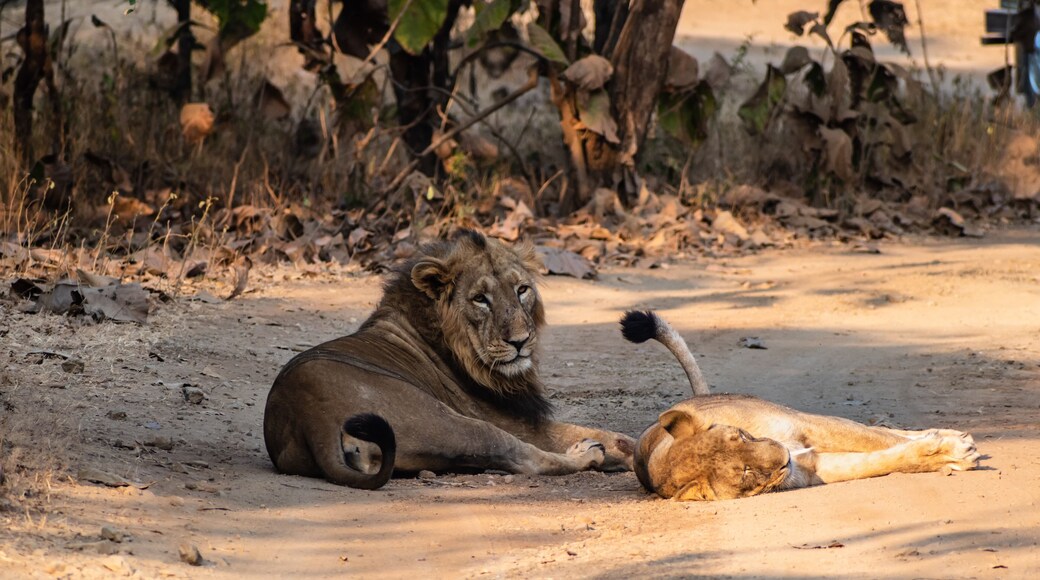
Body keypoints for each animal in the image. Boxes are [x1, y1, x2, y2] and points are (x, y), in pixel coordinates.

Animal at [263, 230, 634, 489]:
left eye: (522, 290)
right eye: (480, 299)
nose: (519, 341)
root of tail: (310, 416)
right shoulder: (509, 418)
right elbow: (581, 430)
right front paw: (621, 451)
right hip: (454, 423)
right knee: (525, 458)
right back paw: (589, 454)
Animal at [622, 310, 980, 501]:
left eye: (740, 436)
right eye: (745, 473)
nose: (784, 457)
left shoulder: (807, 425)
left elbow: (881, 439)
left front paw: (952, 446)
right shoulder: (810, 468)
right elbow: (882, 459)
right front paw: (948, 454)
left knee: (887, 430)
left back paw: (950, 432)